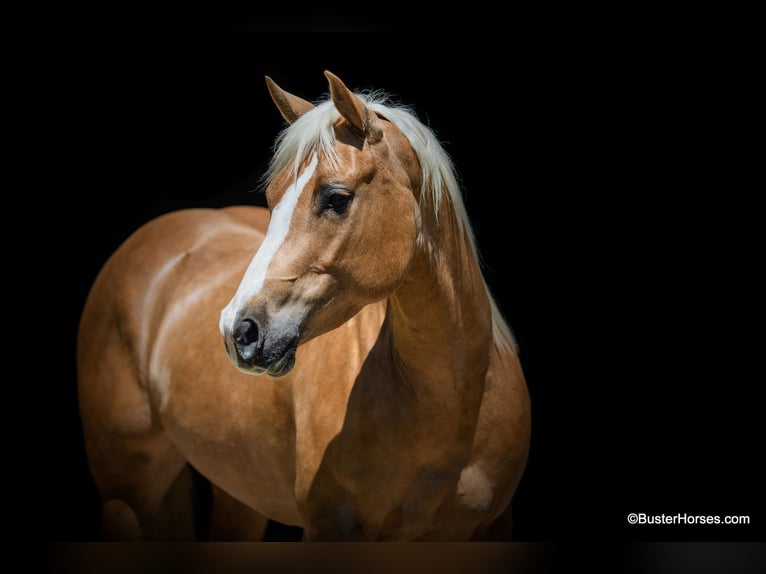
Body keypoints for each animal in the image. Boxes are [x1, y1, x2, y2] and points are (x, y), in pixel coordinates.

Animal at [79, 72, 536, 544]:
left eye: (336, 198)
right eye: (271, 197)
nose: (237, 331)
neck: (450, 410)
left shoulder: (494, 525)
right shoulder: (330, 527)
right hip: (125, 501)